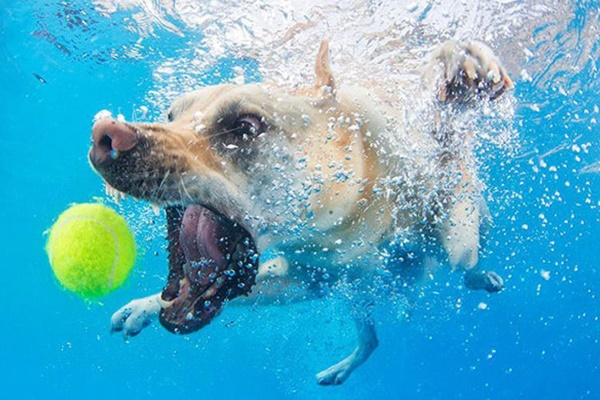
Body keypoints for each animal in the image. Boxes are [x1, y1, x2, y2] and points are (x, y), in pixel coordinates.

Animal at [89, 39, 510, 384]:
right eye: (171, 115)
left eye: (245, 127)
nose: (104, 134)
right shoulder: (307, 278)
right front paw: (143, 306)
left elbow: (454, 219)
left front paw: (460, 71)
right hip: (355, 295)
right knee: (370, 338)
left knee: (466, 260)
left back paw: (481, 277)